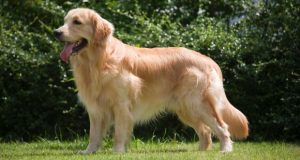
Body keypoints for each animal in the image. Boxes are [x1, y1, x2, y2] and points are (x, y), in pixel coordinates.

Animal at [54, 7, 248, 154]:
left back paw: (225, 150)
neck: (99, 61)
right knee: (206, 130)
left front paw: (117, 152)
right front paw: (89, 152)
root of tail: (208, 60)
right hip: (186, 109)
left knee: (222, 127)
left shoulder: (121, 105)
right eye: (65, 21)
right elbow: (93, 134)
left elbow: (119, 132)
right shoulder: (95, 109)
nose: (56, 32)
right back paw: (200, 151)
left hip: (197, 104)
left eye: (77, 22)